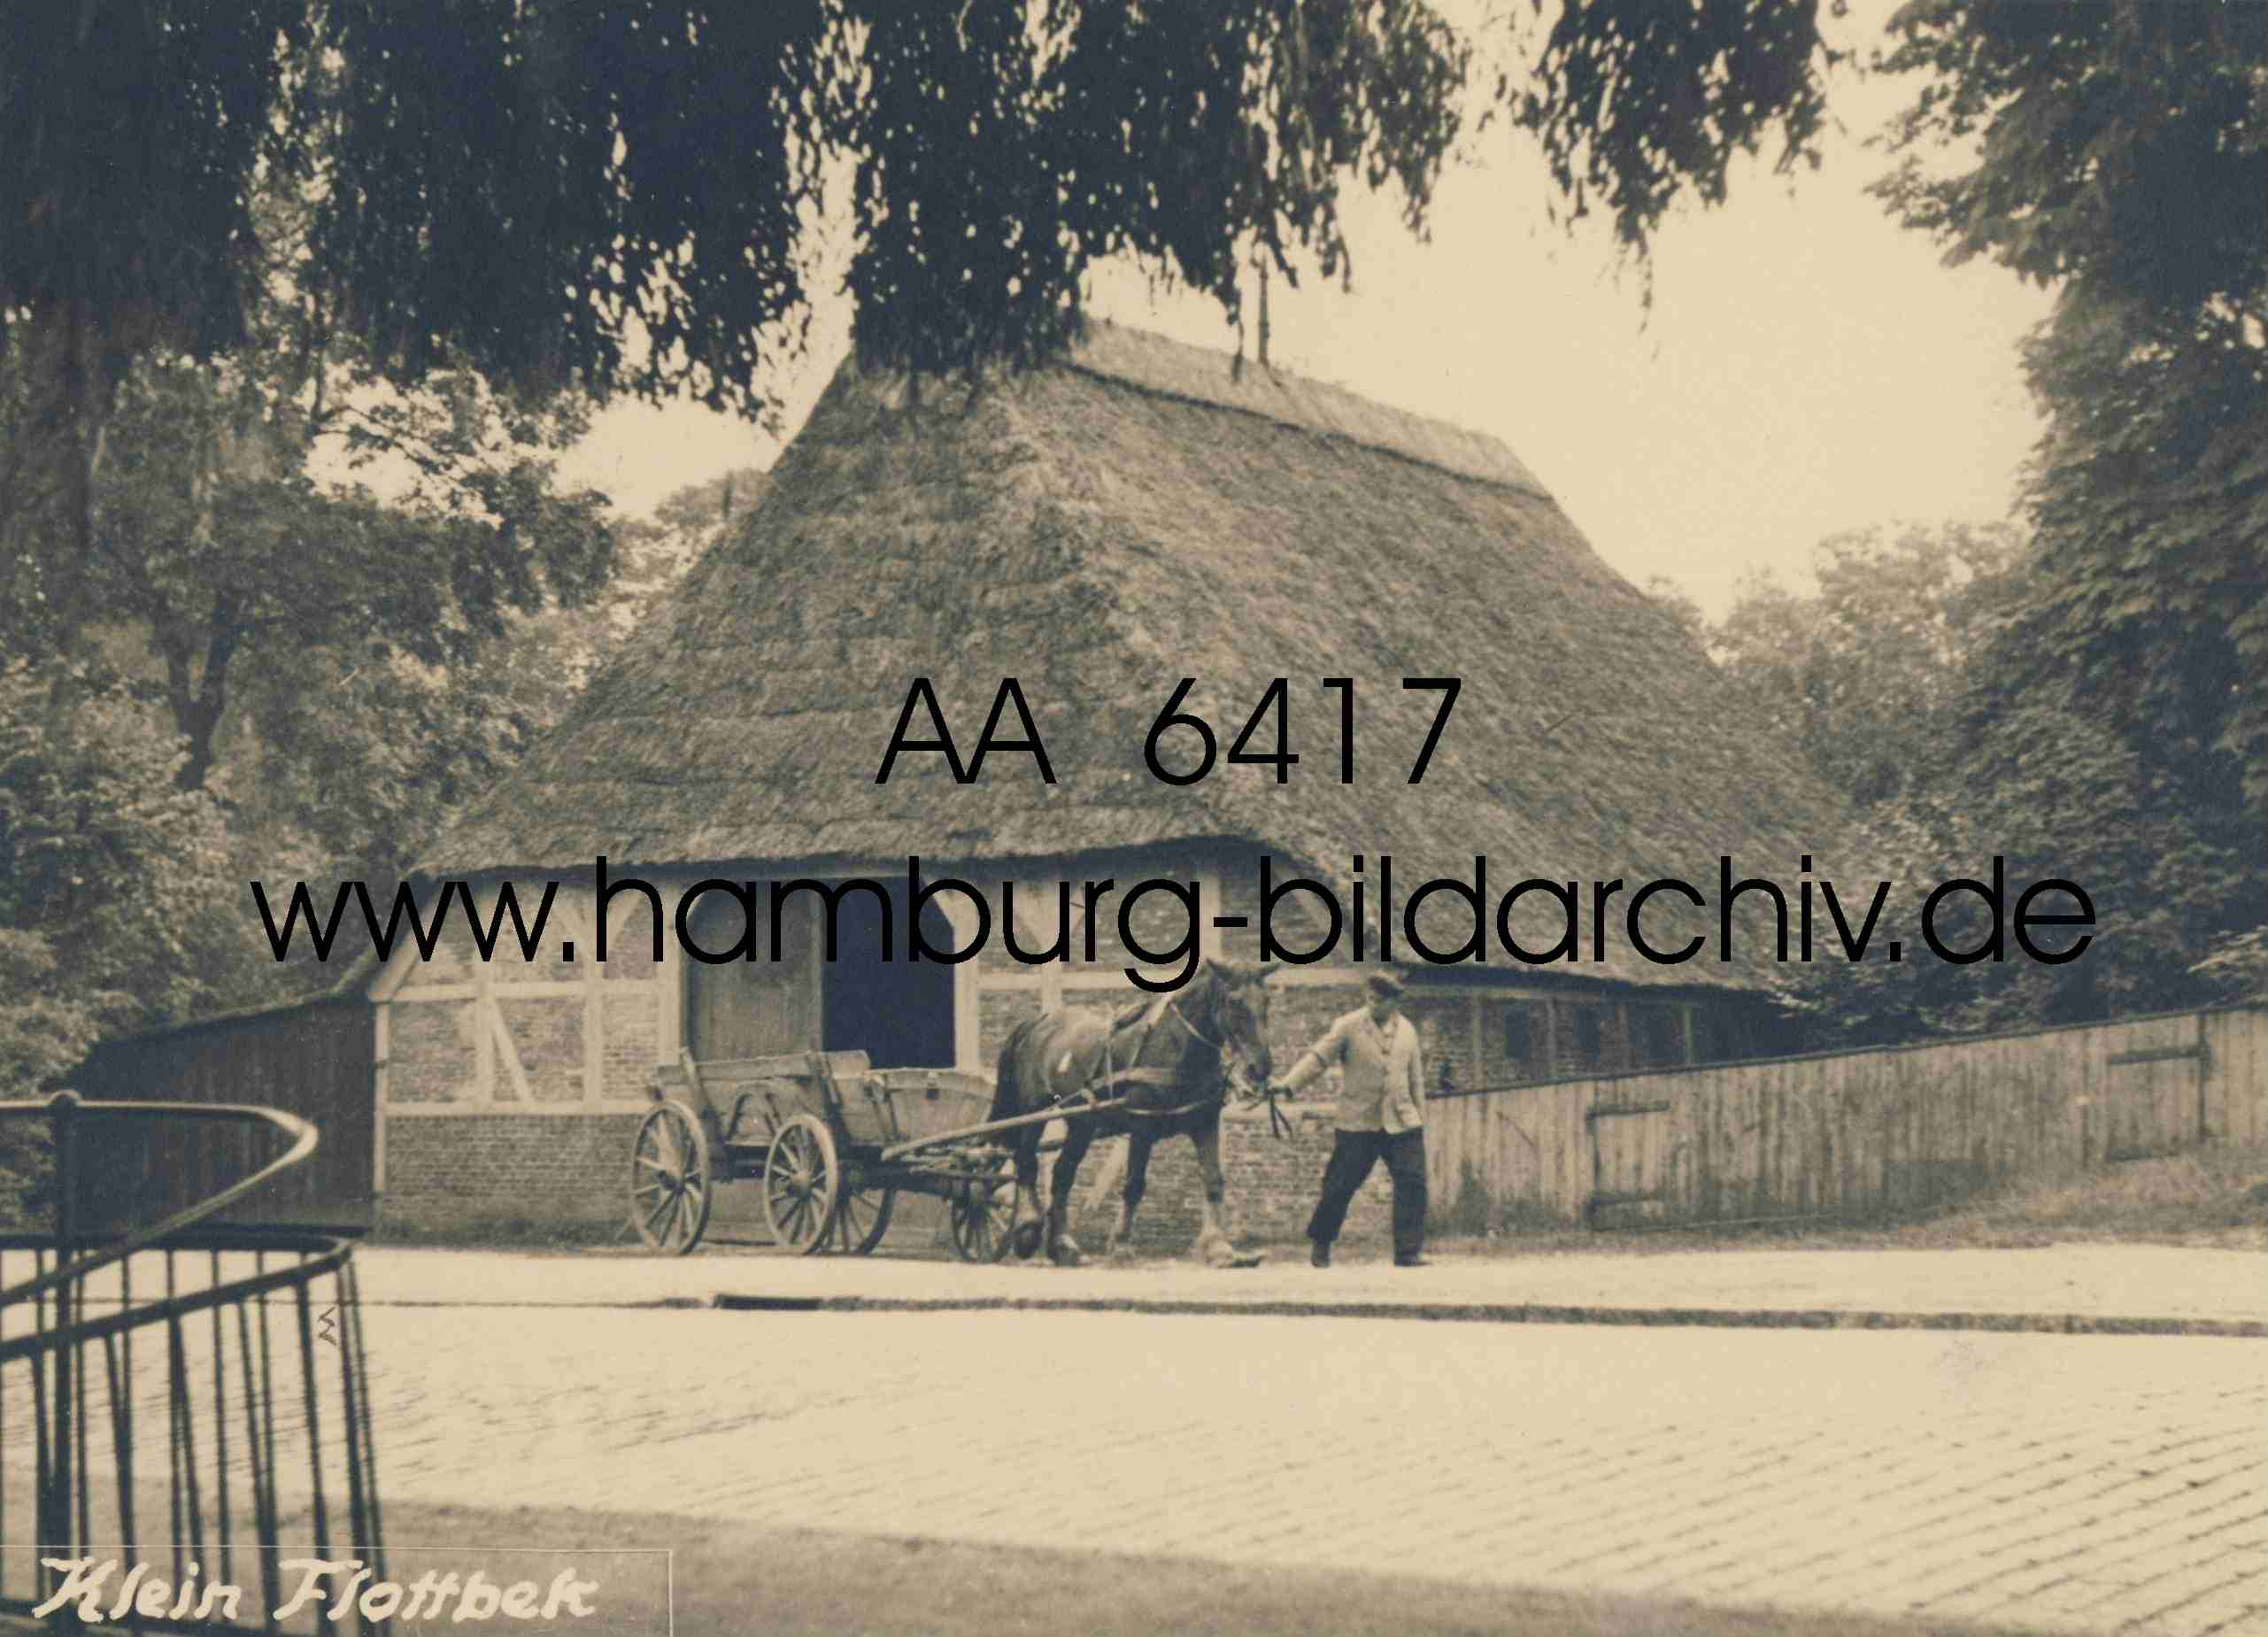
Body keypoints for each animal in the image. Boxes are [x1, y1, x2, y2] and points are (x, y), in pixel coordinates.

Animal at [987, 957, 1277, 1267]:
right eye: (1235, 1001)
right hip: (1035, 1111)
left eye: (1266, 1000)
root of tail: (1038, 1022)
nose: (1261, 1067)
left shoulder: (1205, 1122)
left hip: (1082, 1123)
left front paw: (1219, 1248)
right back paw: (1028, 1229)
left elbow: (1212, 1181)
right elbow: (1134, 1185)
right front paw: (1122, 1244)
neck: (1176, 1047)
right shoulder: (1142, 1126)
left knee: (1062, 1173)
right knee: (1026, 1161)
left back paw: (1062, 1245)